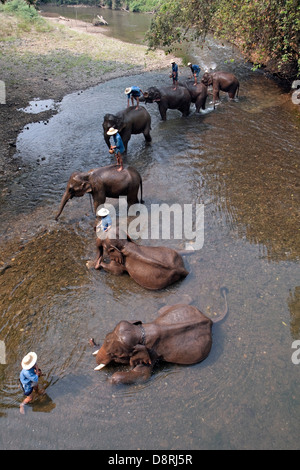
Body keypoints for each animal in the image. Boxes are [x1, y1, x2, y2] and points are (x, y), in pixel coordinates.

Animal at [91, 286, 227, 386]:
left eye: (116, 355)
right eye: (106, 335)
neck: (140, 332)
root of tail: (209, 320)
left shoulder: (151, 354)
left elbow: (142, 376)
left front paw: (109, 381)